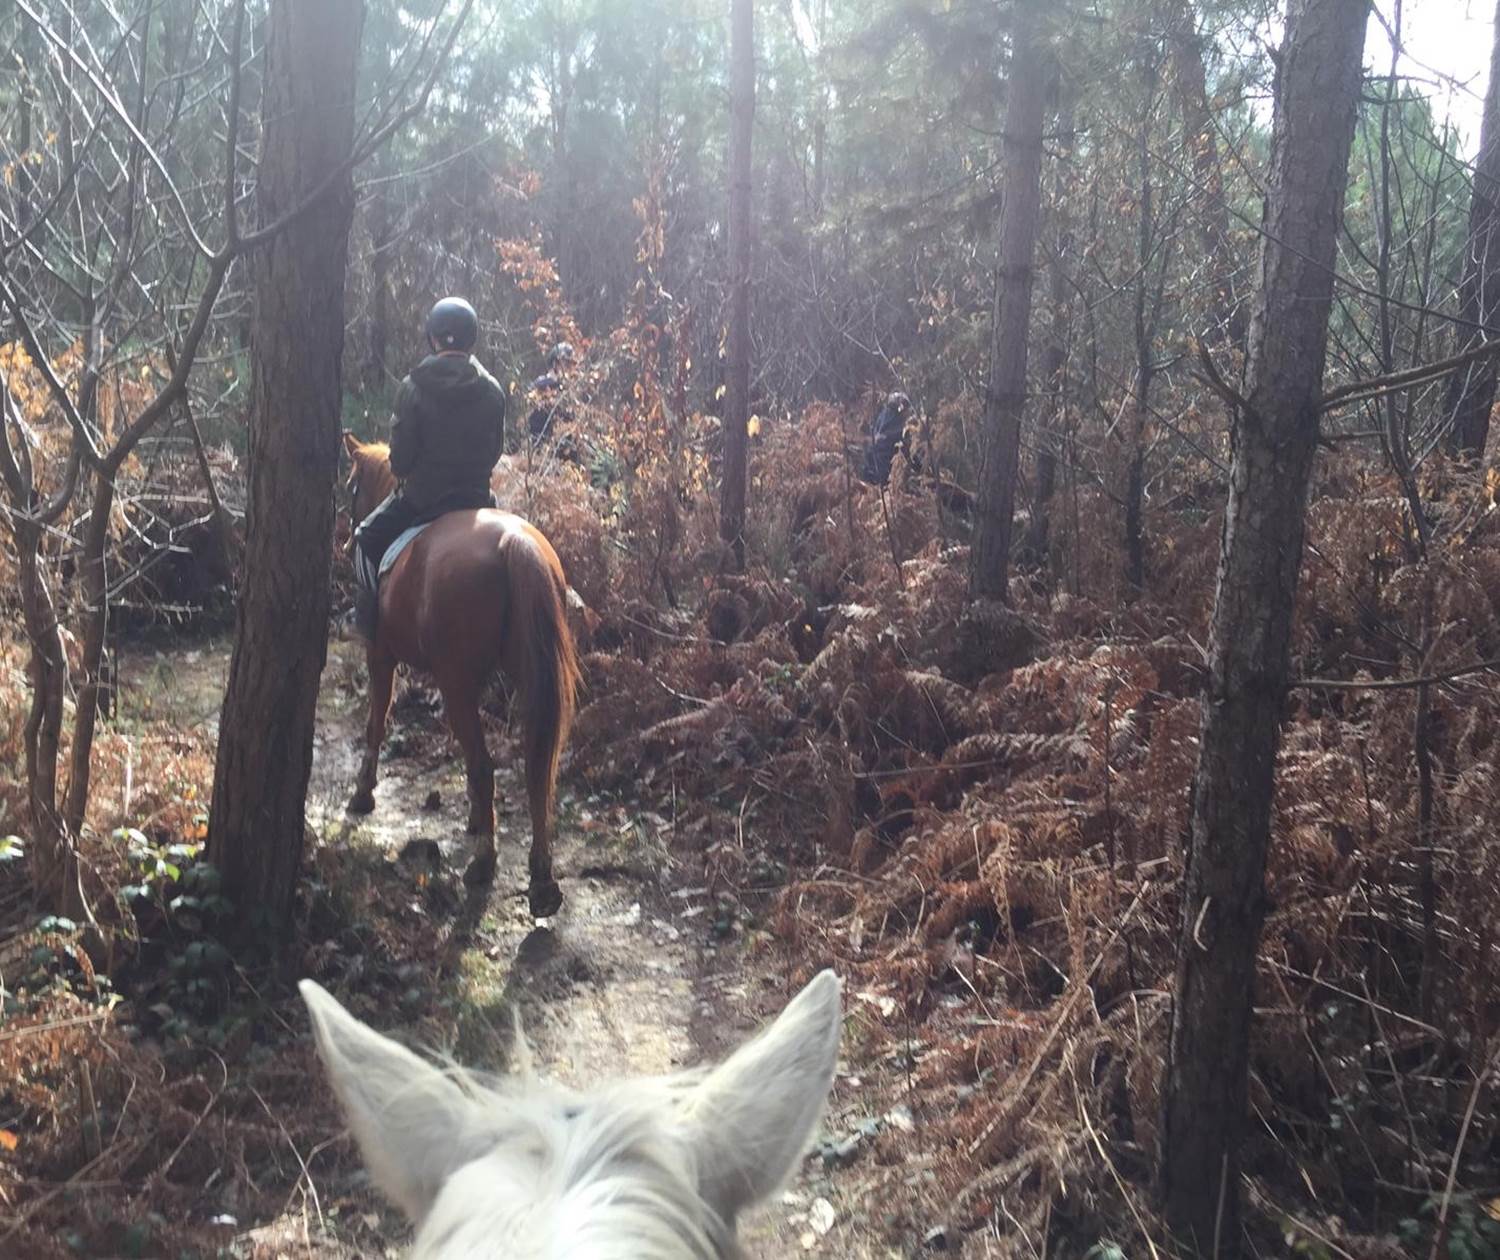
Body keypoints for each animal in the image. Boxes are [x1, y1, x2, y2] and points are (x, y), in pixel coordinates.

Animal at [341, 433, 580, 917]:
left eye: (351, 485)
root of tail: (516, 544)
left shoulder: (381, 655)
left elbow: (377, 720)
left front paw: (363, 793)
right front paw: (474, 819)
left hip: (454, 681)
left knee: (486, 765)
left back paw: (484, 863)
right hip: (524, 679)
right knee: (536, 767)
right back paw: (541, 878)